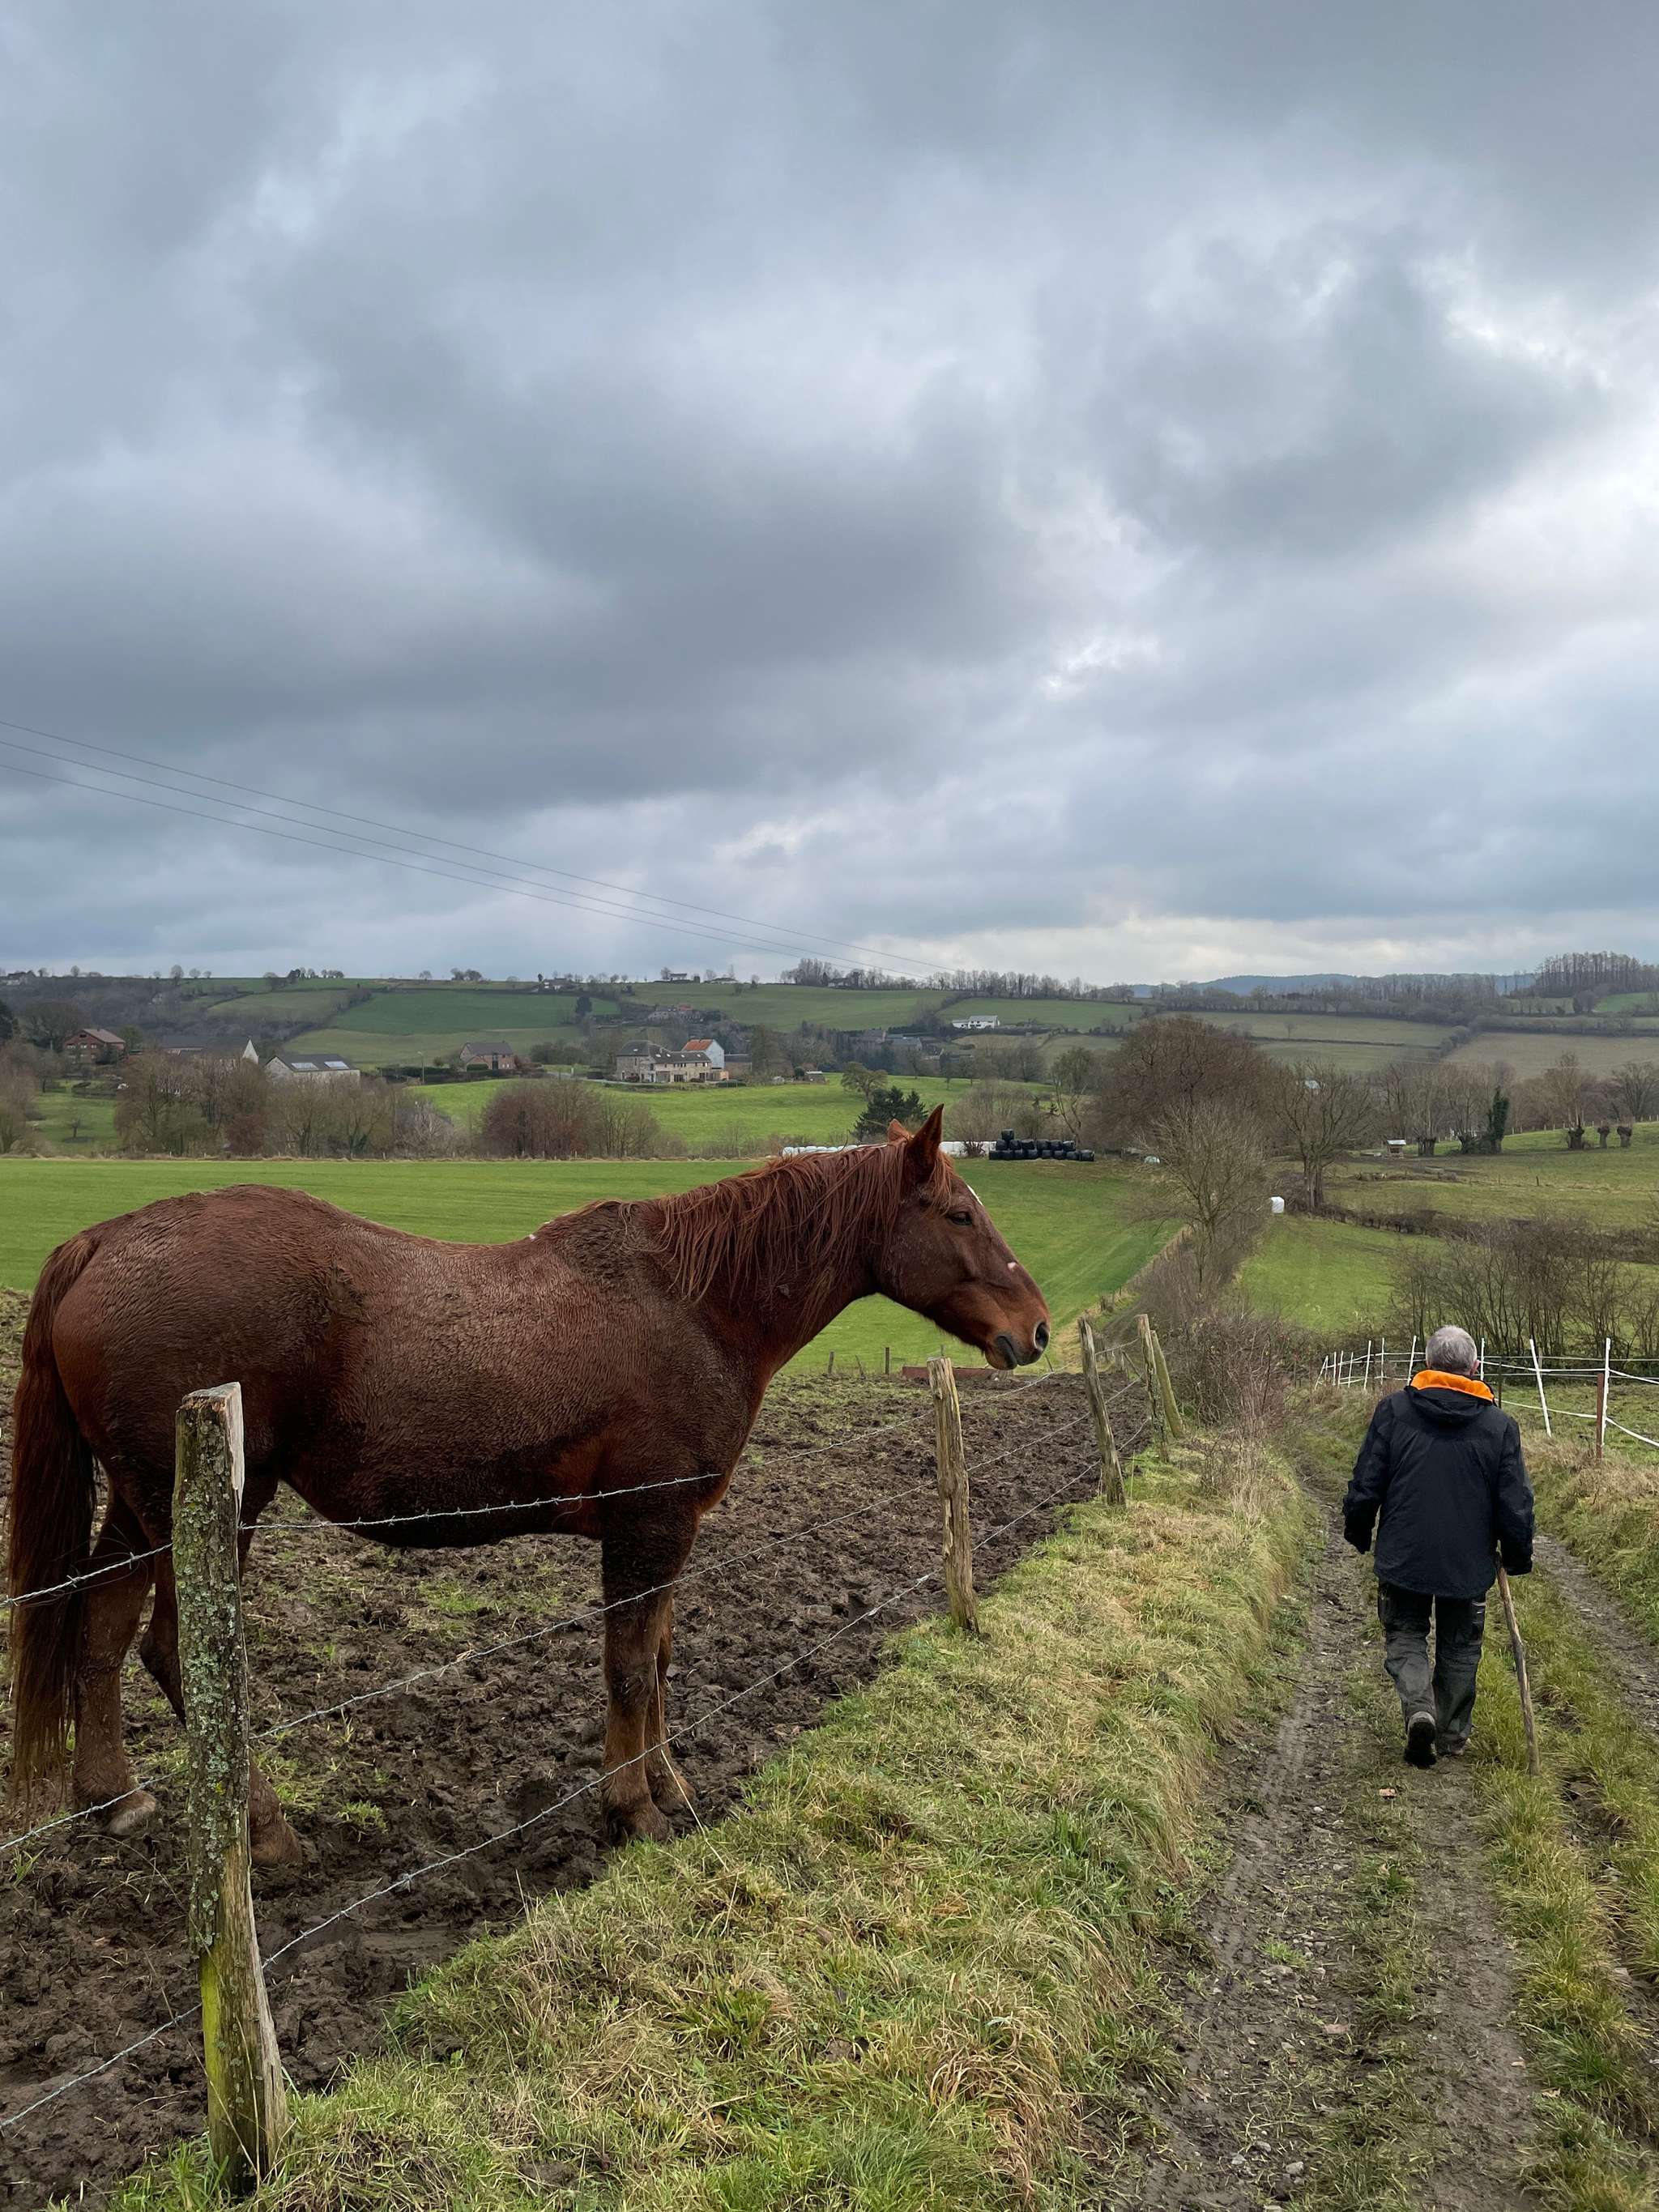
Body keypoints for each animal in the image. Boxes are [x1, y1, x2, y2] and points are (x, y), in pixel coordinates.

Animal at [6, 1109, 1050, 1862]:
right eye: (959, 1215)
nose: (1034, 1329)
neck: (695, 1306)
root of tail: (106, 1240)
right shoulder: (648, 1524)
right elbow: (630, 1667)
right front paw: (633, 1810)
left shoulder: (671, 1529)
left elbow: (660, 1658)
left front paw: (668, 1786)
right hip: (216, 1509)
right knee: (174, 1652)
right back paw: (264, 1832)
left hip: (142, 1506)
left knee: (100, 1630)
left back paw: (116, 1798)